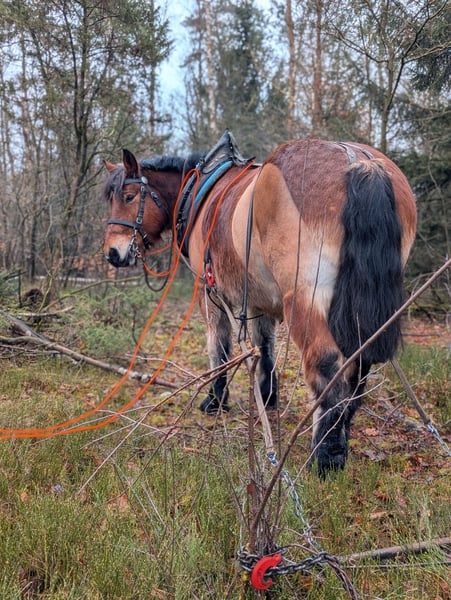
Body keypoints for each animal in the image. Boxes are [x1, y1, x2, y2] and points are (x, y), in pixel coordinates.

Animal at [102, 133, 417, 475]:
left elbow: (219, 347)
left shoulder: (210, 293)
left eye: (129, 196)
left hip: (305, 299)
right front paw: (267, 397)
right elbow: (264, 346)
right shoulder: (258, 299)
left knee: (326, 366)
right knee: (357, 365)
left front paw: (216, 400)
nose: (113, 253)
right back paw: (341, 434)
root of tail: (358, 161)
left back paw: (326, 454)